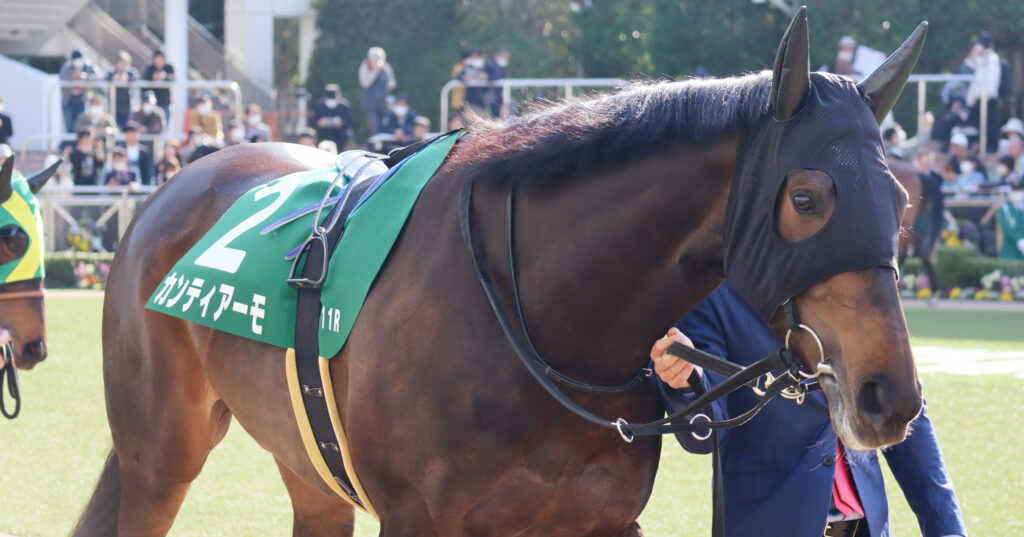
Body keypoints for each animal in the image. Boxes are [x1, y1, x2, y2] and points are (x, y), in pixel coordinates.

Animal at [75, 9, 927, 537]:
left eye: (900, 201)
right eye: (808, 198)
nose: (888, 393)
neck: (543, 323)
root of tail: (178, 183)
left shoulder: (599, 520)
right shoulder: (419, 519)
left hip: (307, 467)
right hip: (159, 460)